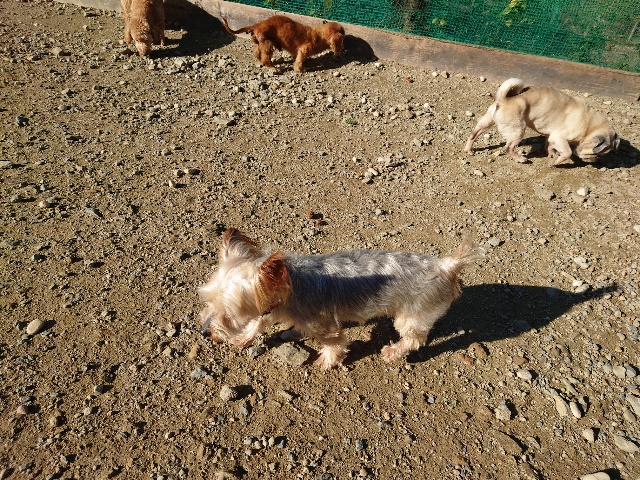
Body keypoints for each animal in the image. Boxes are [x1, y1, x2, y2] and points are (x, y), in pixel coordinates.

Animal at [199, 228, 479, 370]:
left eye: (229, 313)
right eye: (208, 302)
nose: (203, 332)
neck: (287, 285)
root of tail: (446, 266)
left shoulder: (322, 323)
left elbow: (334, 342)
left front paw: (326, 361)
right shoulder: (271, 306)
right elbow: (259, 322)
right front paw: (245, 337)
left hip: (412, 315)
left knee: (414, 339)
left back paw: (391, 352)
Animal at [465, 78, 619, 165]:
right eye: (595, 154)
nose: (595, 161)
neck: (590, 126)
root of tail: (503, 99)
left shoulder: (551, 136)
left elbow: (548, 144)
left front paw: (551, 154)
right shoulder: (559, 137)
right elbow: (567, 153)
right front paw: (556, 162)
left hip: (487, 121)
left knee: (474, 133)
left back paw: (469, 149)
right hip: (518, 130)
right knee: (508, 147)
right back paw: (520, 159)